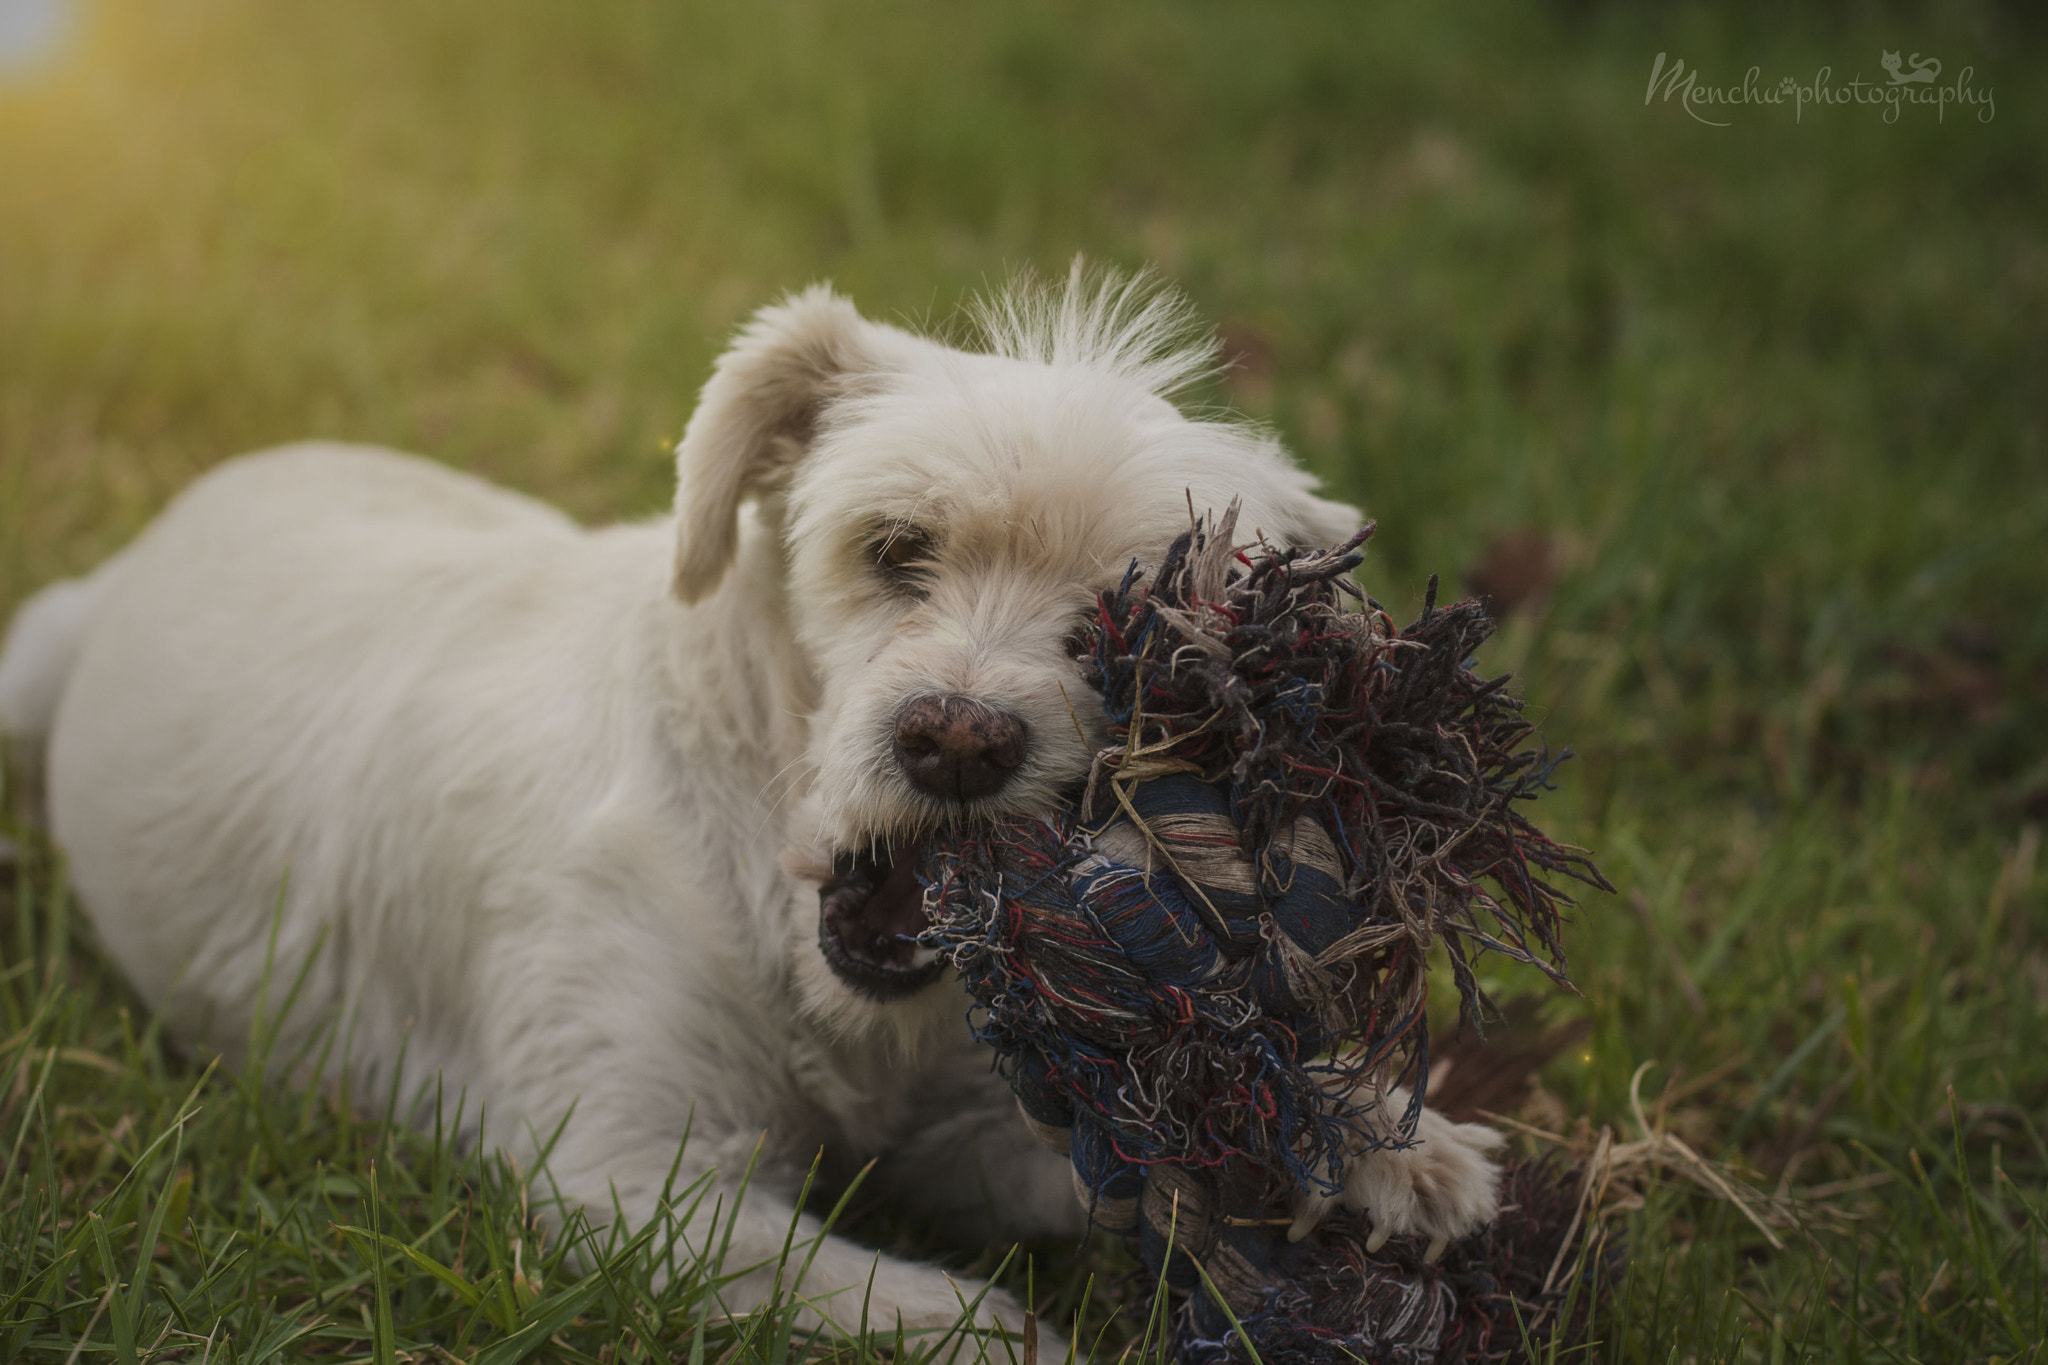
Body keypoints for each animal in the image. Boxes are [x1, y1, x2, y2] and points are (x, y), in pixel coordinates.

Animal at [0, 272, 1507, 1350]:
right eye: (894, 549)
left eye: (1131, 634)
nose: (957, 741)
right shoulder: (623, 1184)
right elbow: (929, 1311)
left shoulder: (960, 1130)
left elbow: (1138, 1142)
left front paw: (1374, 1142)